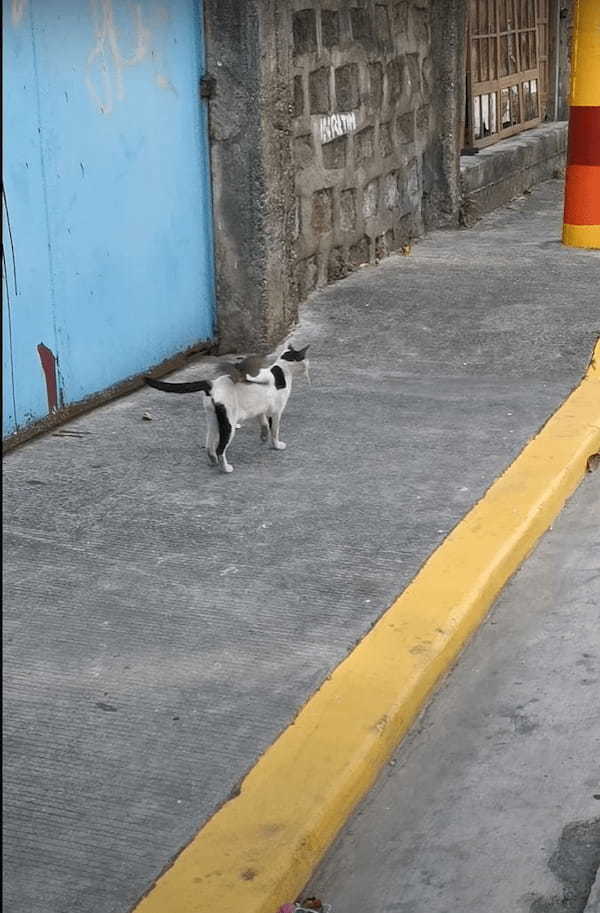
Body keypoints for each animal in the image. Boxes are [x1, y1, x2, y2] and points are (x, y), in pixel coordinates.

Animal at [145, 340, 310, 474]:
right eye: (305, 360)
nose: (309, 366)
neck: (281, 371)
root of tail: (212, 384)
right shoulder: (275, 412)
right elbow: (275, 430)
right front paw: (276, 445)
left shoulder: (260, 409)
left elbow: (263, 422)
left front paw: (263, 436)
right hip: (228, 424)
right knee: (220, 449)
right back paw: (225, 468)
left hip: (212, 420)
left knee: (209, 445)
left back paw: (213, 462)